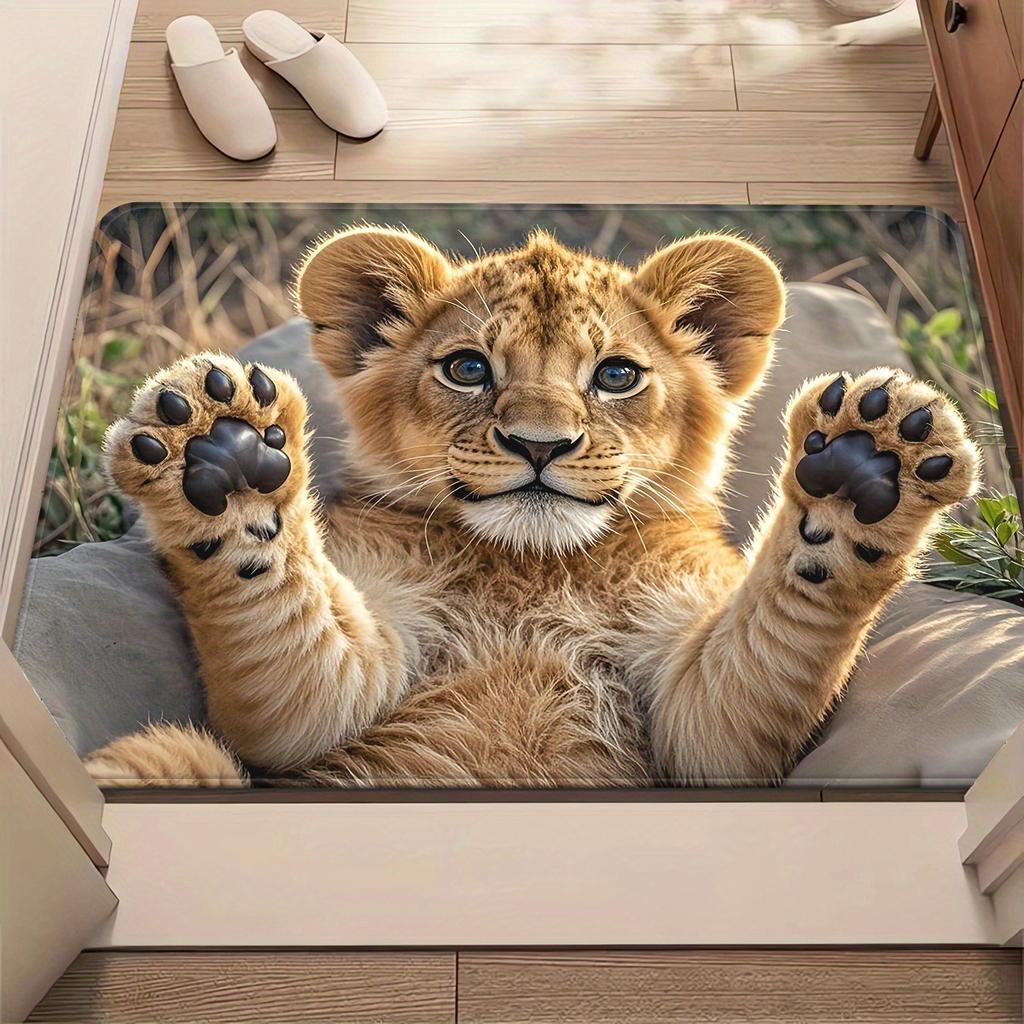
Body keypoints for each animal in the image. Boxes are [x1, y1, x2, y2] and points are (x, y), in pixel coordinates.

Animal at [83, 226, 979, 788]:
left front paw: (867, 461)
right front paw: (223, 449)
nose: (539, 445)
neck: (531, 570)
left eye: (616, 375)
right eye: (468, 369)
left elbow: (753, 669)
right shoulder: (321, 702)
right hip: (179, 757)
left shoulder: (703, 728)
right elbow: (291, 658)